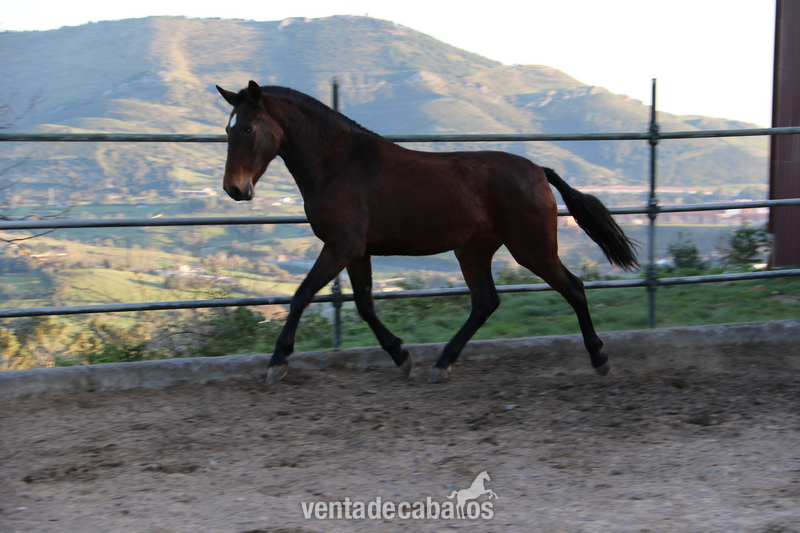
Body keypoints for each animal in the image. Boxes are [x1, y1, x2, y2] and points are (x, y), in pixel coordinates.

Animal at [216, 80, 638, 386]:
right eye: (227, 129)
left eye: (249, 127)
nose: (235, 189)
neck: (338, 164)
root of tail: (539, 170)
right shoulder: (357, 251)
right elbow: (365, 305)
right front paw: (401, 357)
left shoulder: (340, 247)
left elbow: (302, 295)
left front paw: (277, 363)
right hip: (474, 251)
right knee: (486, 302)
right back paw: (442, 363)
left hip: (531, 248)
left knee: (573, 288)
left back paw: (599, 358)